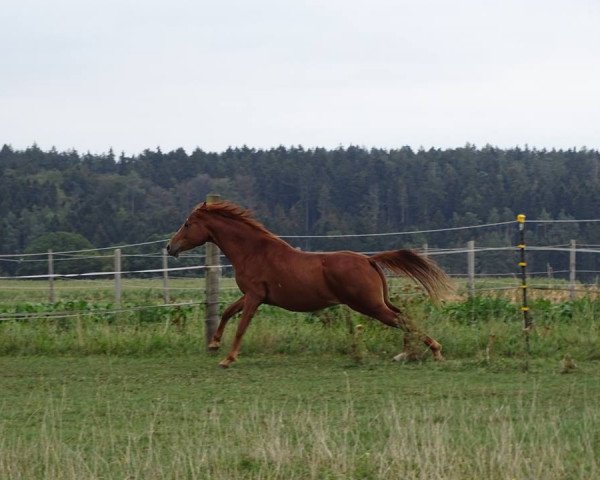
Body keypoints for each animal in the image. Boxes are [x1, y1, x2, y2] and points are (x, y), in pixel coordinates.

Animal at [168, 201, 450, 370]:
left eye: (187, 224)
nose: (170, 247)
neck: (253, 252)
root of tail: (368, 259)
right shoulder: (252, 295)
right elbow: (227, 312)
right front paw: (214, 344)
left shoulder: (255, 296)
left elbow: (241, 326)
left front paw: (228, 358)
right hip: (376, 303)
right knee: (404, 318)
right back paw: (408, 353)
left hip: (368, 305)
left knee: (401, 320)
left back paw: (433, 351)